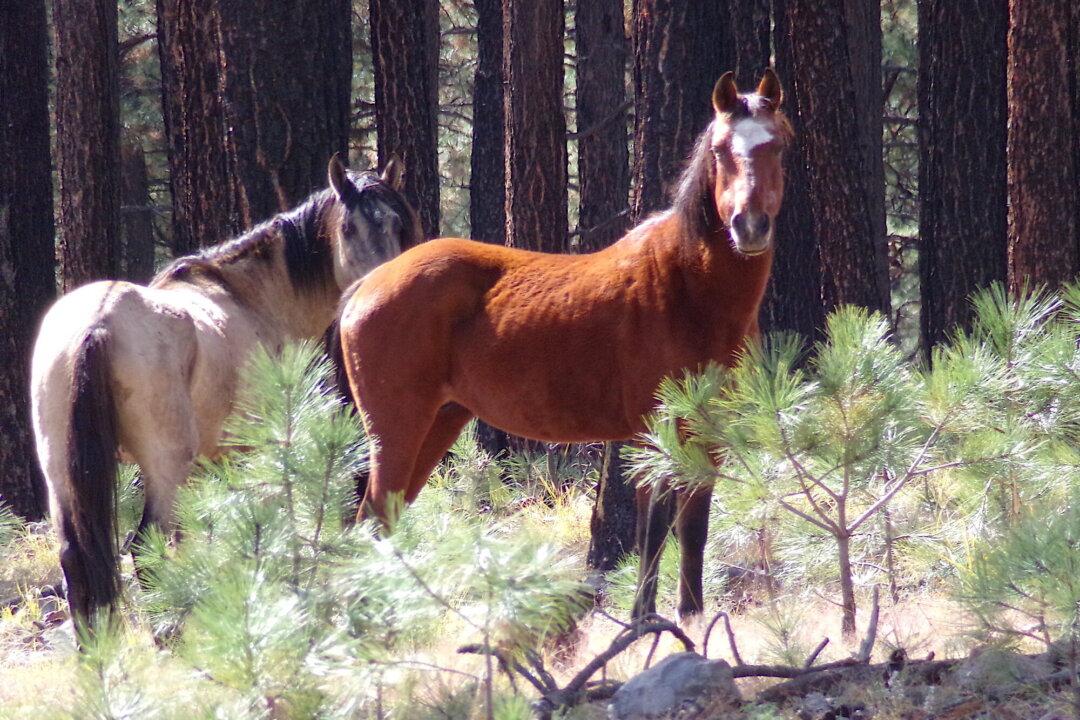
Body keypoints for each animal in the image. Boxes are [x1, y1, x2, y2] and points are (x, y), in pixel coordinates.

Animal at [30, 155, 421, 631]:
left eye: (398, 223)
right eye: (348, 228)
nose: (385, 288)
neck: (250, 299)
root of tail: (98, 322)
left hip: (62, 474)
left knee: (76, 557)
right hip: (165, 468)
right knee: (144, 547)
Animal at [337, 70, 792, 620]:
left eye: (779, 145)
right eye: (722, 149)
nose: (750, 226)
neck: (687, 291)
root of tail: (370, 282)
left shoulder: (707, 436)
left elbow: (691, 533)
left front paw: (689, 618)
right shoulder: (653, 432)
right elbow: (655, 531)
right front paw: (644, 623)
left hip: (438, 423)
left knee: (384, 520)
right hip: (398, 430)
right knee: (370, 522)